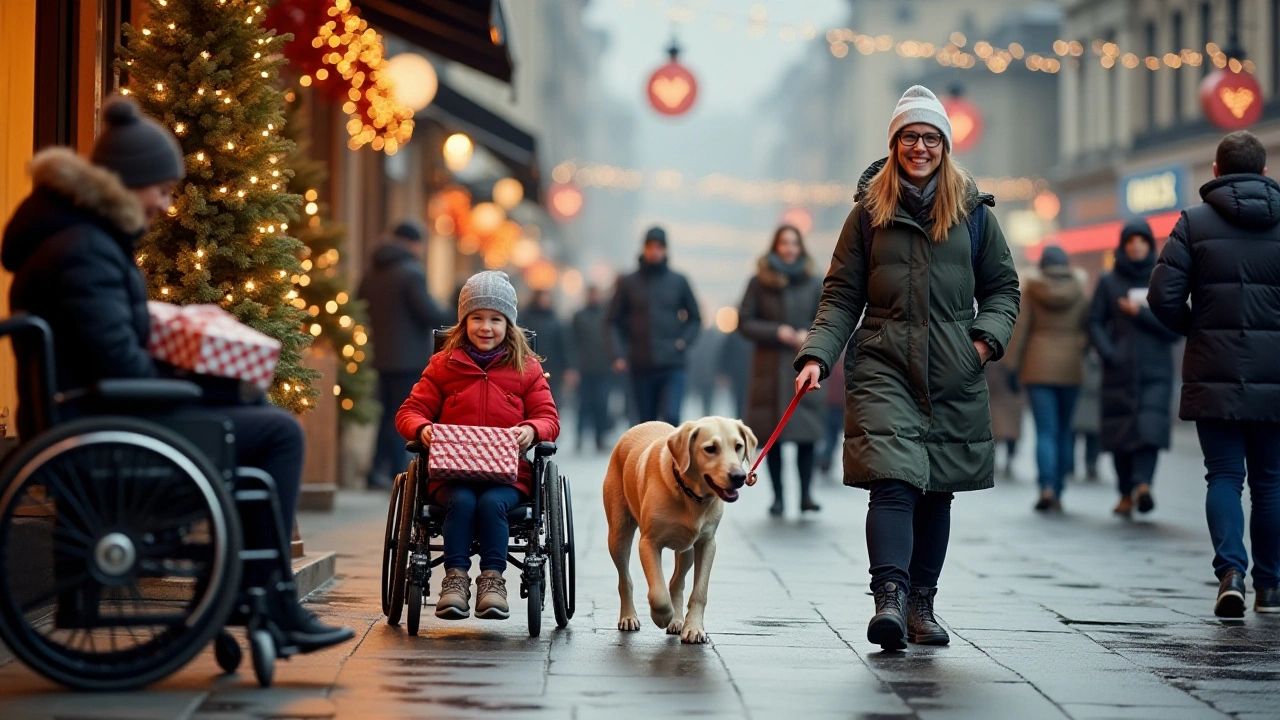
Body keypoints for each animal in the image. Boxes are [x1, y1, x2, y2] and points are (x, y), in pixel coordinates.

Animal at [601, 417, 752, 640]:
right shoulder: (648, 543)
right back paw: (629, 617)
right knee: (624, 578)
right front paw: (662, 616)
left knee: (676, 582)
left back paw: (678, 620)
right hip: (618, 535)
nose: (739, 476)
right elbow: (658, 592)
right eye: (711, 448)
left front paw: (693, 627)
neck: (691, 495)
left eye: (738, 446)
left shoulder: (707, 543)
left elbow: (700, 591)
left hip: (686, 550)